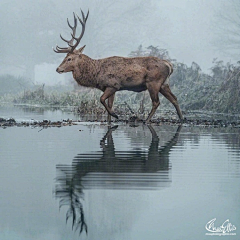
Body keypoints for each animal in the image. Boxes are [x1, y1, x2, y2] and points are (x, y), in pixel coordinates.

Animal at [53, 9, 183, 123]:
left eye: (69, 58)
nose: (58, 69)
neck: (96, 74)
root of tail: (169, 65)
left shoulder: (113, 85)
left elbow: (101, 100)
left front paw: (115, 115)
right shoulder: (109, 88)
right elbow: (109, 104)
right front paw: (109, 120)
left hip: (153, 82)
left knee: (156, 102)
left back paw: (146, 120)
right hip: (164, 83)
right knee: (174, 98)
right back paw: (181, 118)